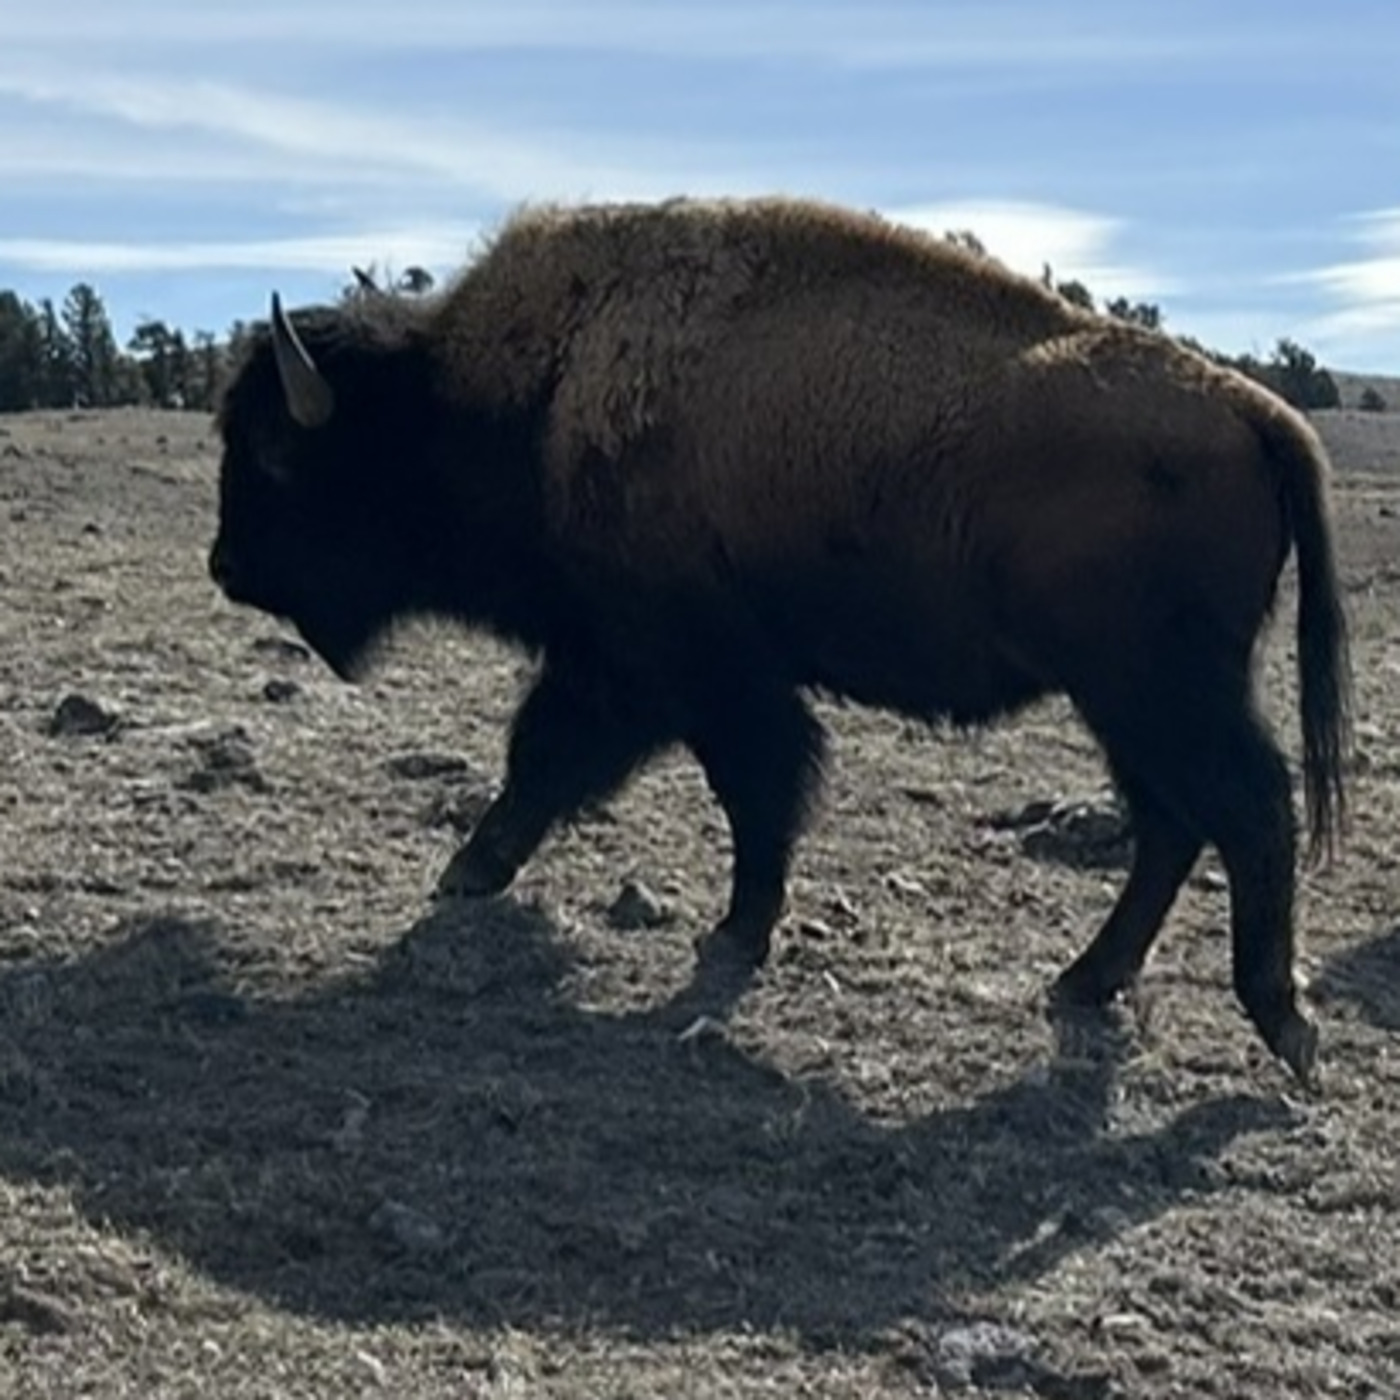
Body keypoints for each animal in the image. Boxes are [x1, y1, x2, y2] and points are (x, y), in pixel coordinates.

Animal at [209, 197, 1350, 1082]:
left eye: (273, 453)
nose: (224, 566)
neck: (532, 391)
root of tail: (1259, 412)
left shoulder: (693, 670)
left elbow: (740, 787)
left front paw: (732, 931)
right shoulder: (620, 664)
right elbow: (549, 760)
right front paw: (470, 871)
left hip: (1157, 690)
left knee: (1245, 811)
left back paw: (1281, 1021)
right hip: (1125, 701)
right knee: (1172, 823)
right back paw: (1083, 981)